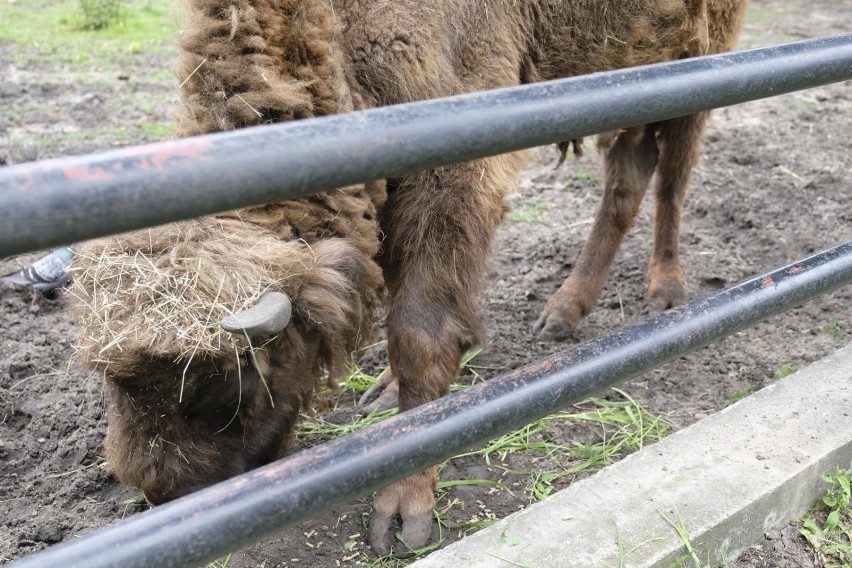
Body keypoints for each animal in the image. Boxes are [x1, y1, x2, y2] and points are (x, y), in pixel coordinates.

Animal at [68, 0, 744, 556]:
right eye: (111, 384)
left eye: (226, 384)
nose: (163, 498)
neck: (331, 35)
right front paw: (386, 391)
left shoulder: (450, 174)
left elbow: (421, 330)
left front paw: (402, 508)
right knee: (627, 181)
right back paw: (563, 311)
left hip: (698, 59)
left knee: (672, 178)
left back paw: (665, 293)